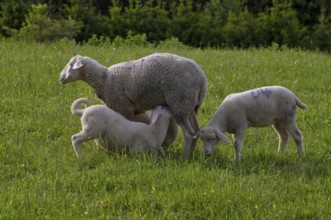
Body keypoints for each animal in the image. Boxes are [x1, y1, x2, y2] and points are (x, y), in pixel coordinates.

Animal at [59, 53, 208, 160]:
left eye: (71, 65)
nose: (60, 78)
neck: (104, 79)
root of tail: (202, 78)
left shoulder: (123, 106)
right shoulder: (135, 110)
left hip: (180, 102)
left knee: (188, 134)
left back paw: (184, 157)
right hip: (192, 106)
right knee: (196, 131)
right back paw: (192, 155)